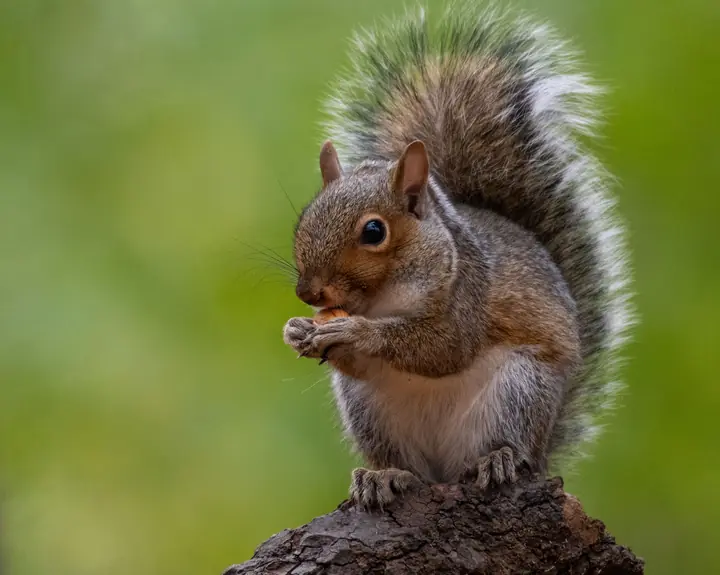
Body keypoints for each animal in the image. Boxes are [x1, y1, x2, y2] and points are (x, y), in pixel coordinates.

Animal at [282, 2, 632, 509]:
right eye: (304, 218)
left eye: (374, 231)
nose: (307, 293)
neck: (383, 296)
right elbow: (358, 362)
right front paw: (296, 331)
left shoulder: (466, 293)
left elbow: (444, 347)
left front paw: (358, 331)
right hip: (369, 411)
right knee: (405, 465)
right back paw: (382, 476)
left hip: (518, 392)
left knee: (509, 443)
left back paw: (499, 459)